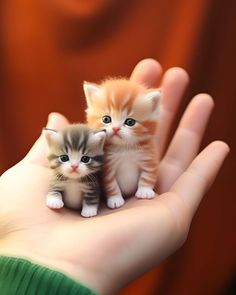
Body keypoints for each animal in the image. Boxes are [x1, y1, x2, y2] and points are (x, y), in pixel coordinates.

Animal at [83, 77, 160, 209]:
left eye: (130, 122)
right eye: (106, 119)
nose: (116, 128)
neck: (124, 148)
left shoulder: (149, 158)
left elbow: (148, 175)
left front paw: (145, 192)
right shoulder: (107, 169)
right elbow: (111, 185)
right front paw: (115, 200)